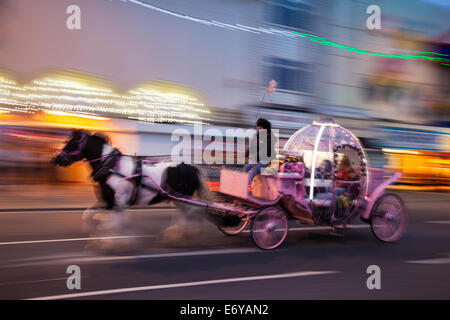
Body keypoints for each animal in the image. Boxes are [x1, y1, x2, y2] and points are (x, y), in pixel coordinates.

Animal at [51, 129, 214, 245]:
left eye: (73, 144)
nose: (55, 159)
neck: (110, 167)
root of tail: (191, 166)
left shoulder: (119, 201)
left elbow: (111, 223)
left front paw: (110, 242)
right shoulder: (107, 202)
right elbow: (89, 216)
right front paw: (97, 235)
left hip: (183, 198)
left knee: (194, 212)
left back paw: (193, 234)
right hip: (178, 199)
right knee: (187, 214)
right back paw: (178, 234)